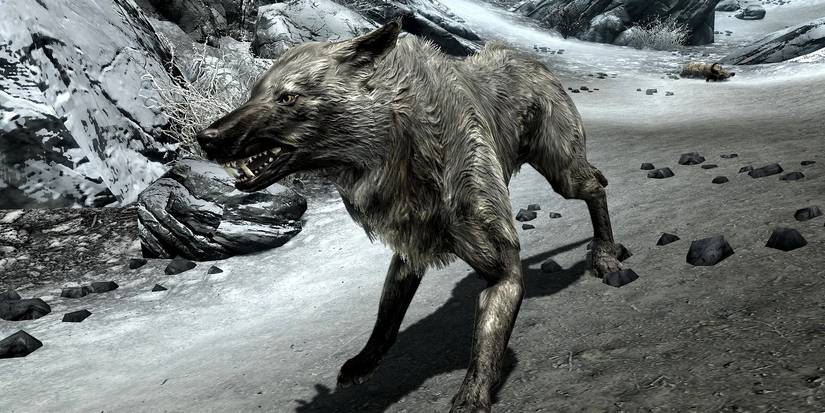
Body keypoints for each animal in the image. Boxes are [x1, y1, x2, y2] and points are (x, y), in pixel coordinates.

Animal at [196, 20, 621, 412]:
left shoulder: (504, 271)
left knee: (597, 185)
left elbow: (486, 343)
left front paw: (472, 396)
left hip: (562, 171)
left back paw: (606, 255)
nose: (206, 137)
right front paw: (365, 362)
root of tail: (533, 62)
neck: (400, 146)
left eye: (288, 97)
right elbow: (387, 316)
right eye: (254, 93)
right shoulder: (410, 247)